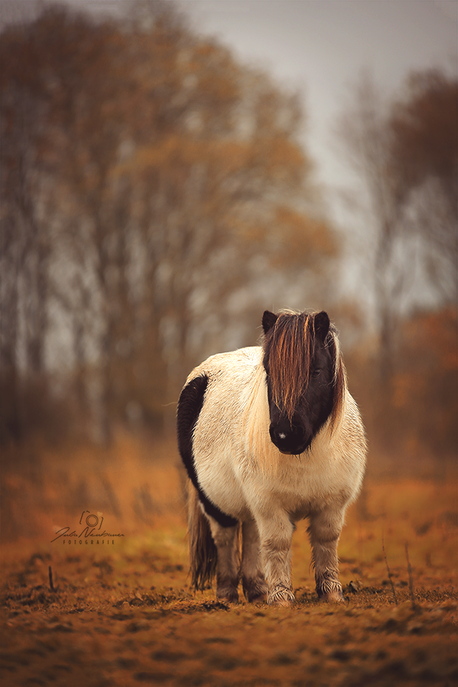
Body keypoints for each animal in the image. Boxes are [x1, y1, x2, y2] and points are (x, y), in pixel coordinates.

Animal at [177, 312, 366, 608]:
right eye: (269, 373)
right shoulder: (270, 504)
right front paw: (281, 598)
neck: (307, 454)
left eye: (316, 371)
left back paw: (257, 591)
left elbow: (326, 541)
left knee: (251, 535)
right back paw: (227, 594)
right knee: (226, 537)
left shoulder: (332, 504)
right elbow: (277, 544)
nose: (284, 434)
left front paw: (332, 594)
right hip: (215, 502)